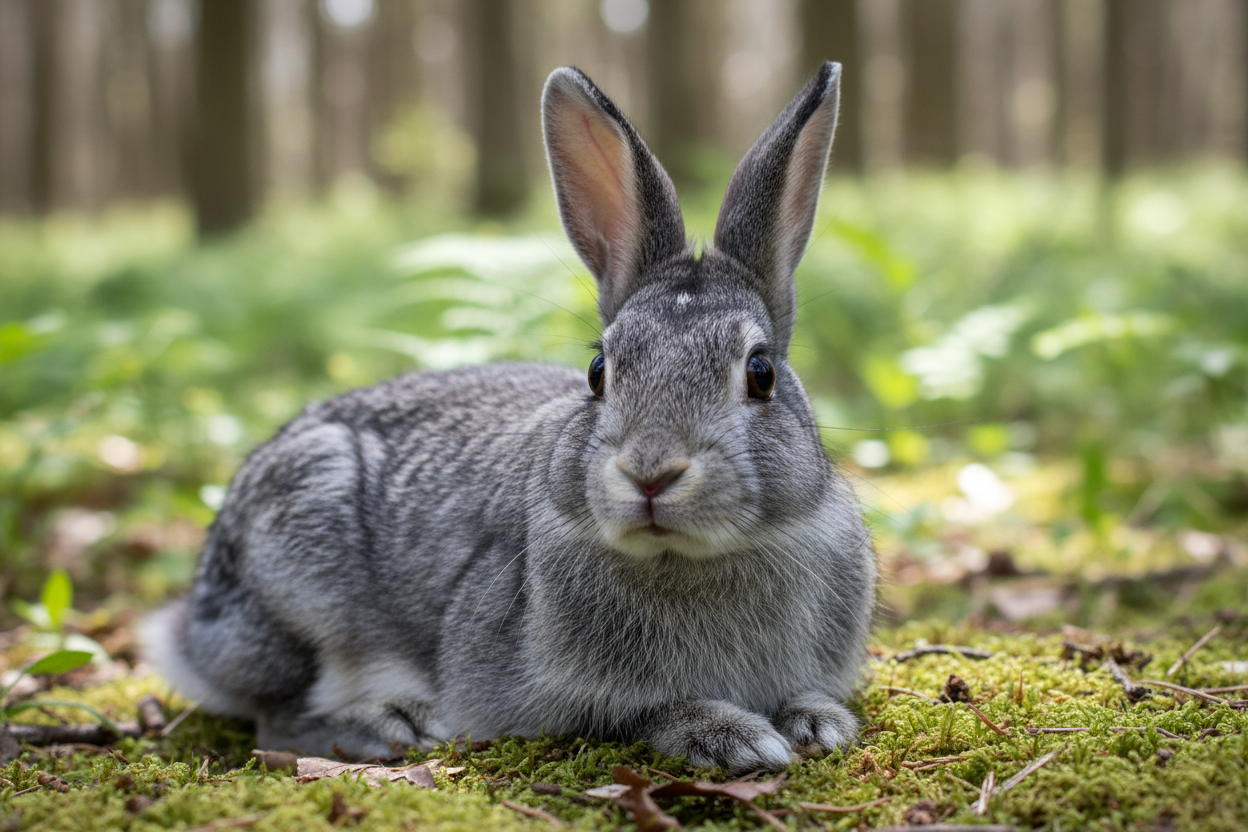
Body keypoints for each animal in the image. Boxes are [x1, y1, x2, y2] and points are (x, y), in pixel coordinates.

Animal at [142, 61, 876, 775]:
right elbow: (643, 715)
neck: (687, 556)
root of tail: (193, 628)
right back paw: (390, 723)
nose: (649, 473)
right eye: (598, 372)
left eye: (760, 373)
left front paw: (820, 723)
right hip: (300, 575)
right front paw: (732, 737)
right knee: (278, 717)